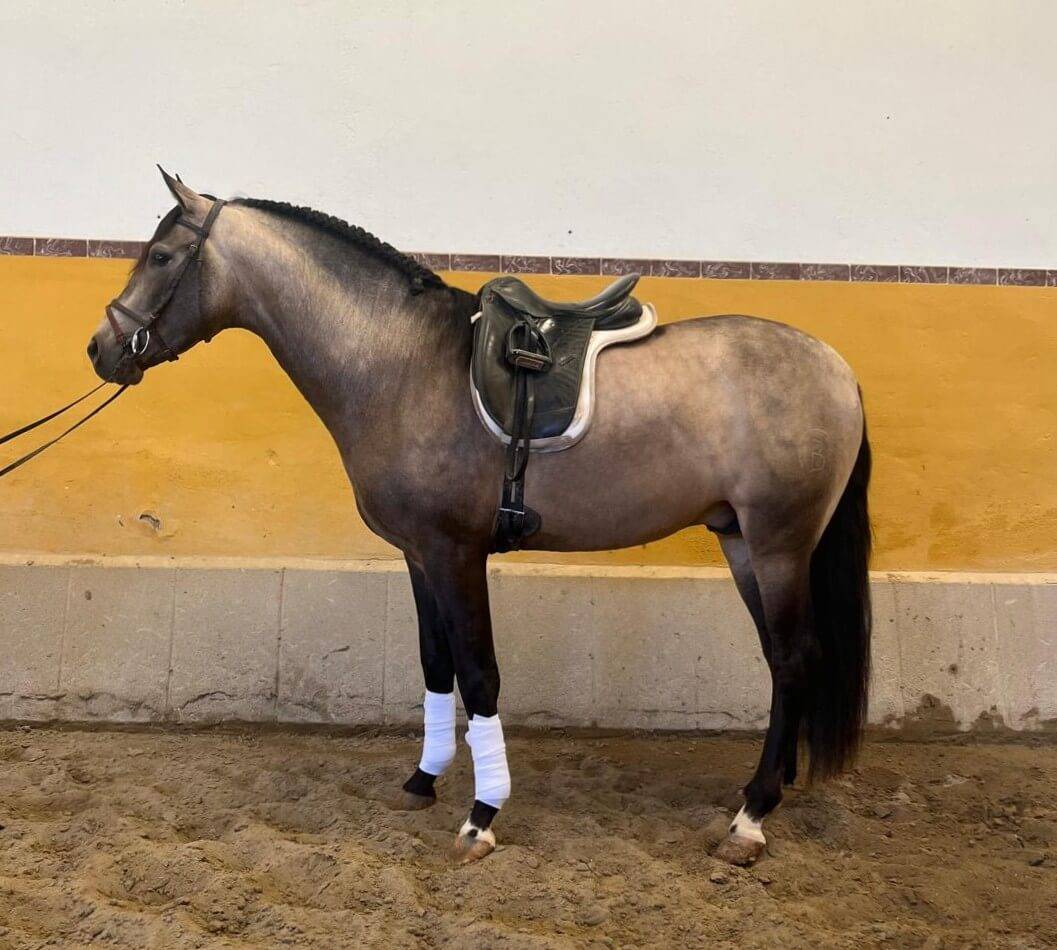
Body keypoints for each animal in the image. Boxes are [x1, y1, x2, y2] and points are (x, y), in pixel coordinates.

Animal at [87, 168, 872, 866]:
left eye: (162, 256)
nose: (101, 348)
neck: (399, 364)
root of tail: (835, 366)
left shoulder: (456, 552)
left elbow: (480, 673)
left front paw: (483, 815)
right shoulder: (418, 553)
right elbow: (437, 666)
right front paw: (421, 781)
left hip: (777, 544)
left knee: (795, 658)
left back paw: (751, 819)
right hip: (740, 540)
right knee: (780, 660)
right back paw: (764, 790)